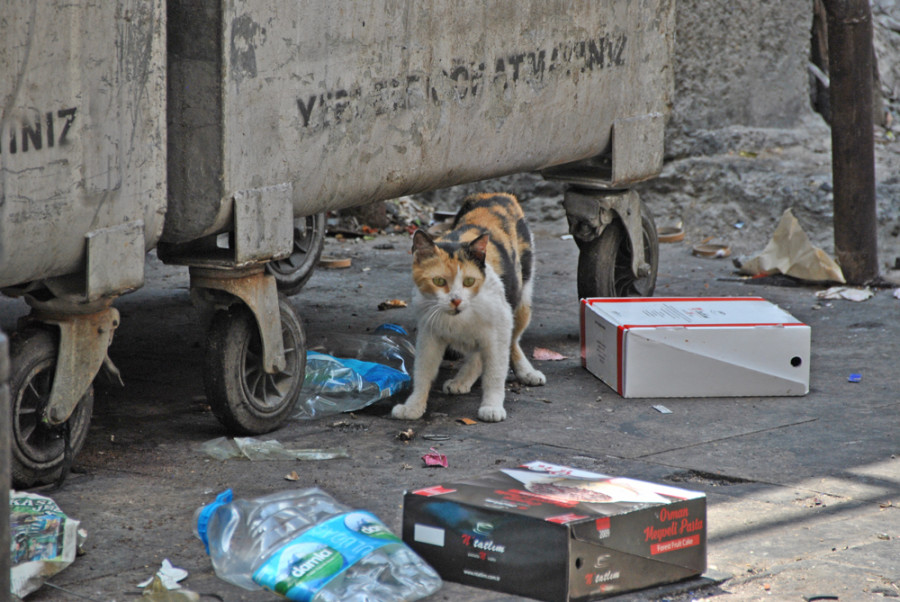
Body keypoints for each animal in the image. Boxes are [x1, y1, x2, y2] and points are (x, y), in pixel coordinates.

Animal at [390, 192, 544, 422]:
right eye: (438, 281)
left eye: (469, 281)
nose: (456, 300)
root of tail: (498, 194)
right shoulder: (428, 333)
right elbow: (423, 371)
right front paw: (414, 406)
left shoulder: (499, 327)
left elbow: (495, 371)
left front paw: (492, 406)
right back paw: (461, 380)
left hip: (521, 299)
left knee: (513, 341)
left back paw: (527, 372)